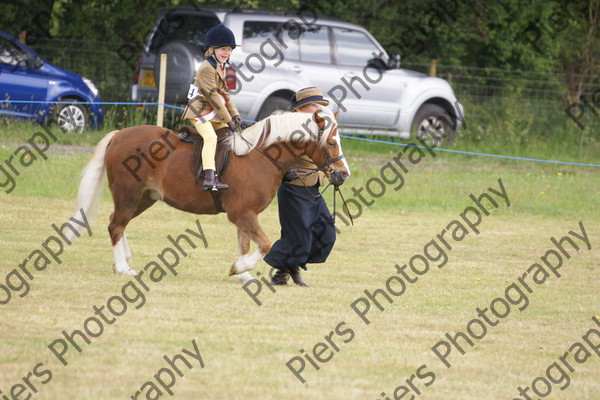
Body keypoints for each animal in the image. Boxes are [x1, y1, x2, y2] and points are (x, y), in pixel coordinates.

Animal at [65, 108, 350, 282]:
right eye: (332, 143)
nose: (343, 174)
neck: (260, 156)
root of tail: (119, 135)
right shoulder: (242, 214)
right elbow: (265, 244)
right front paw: (239, 269)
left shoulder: (244, 217)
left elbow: (245, 244)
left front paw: (243, 275)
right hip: (129, 195)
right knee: (116, 225)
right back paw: (124, 268)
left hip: (143, 198)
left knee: (120, 224)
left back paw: (124, 262)